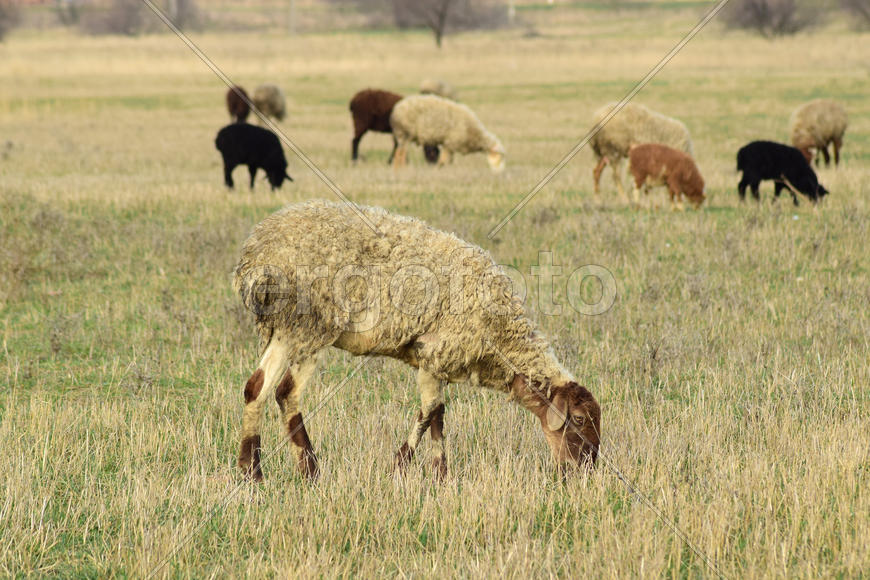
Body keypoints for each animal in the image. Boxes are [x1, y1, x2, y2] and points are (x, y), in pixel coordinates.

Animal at [232, 200, 601, 482]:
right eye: (579, 420)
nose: (584, 471)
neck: (501, 341)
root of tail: (257, 256)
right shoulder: (436, 352)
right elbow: (429, 413)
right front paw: (403, 466)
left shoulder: (436, 362)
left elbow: (438, 415)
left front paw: (439, 475)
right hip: (309, 325)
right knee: (286, 393)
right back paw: (302, 470)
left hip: (283, 330)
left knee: (257, 388)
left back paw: (254, 472)